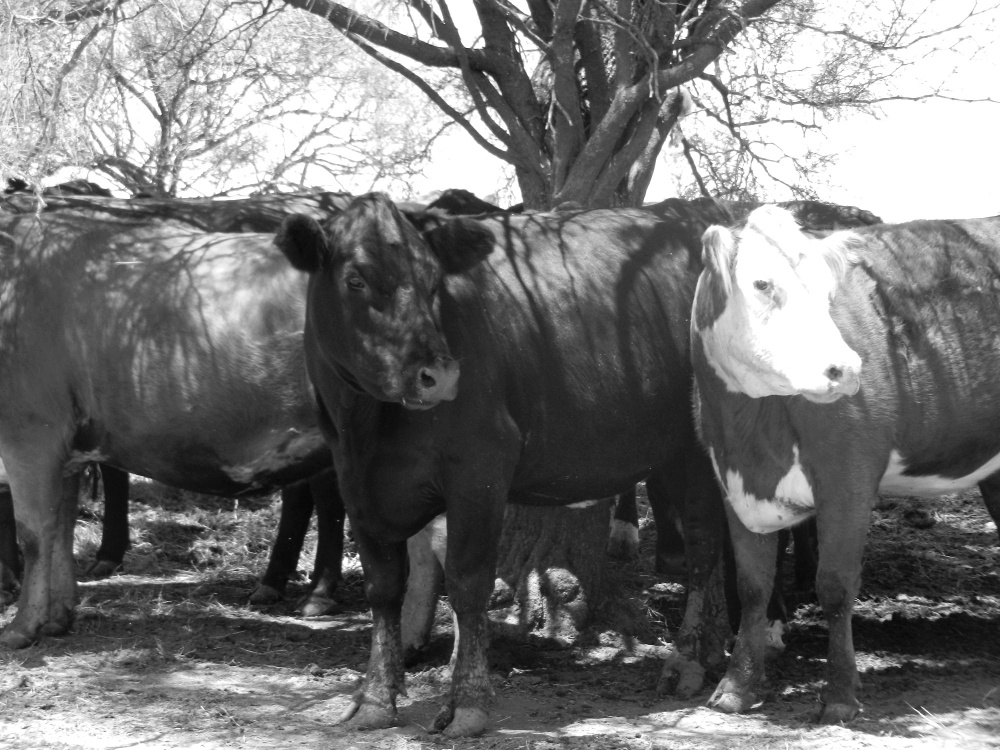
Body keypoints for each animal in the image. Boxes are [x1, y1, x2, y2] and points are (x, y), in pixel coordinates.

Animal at [692, 206, 1000, 724]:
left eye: (828, 291)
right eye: (761, 283)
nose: (846, 370)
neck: (753, 430)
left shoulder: (848, 474)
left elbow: (835, 585)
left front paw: (839, 695)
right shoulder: (732, 481)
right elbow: (753, 585)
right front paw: (736, 687)